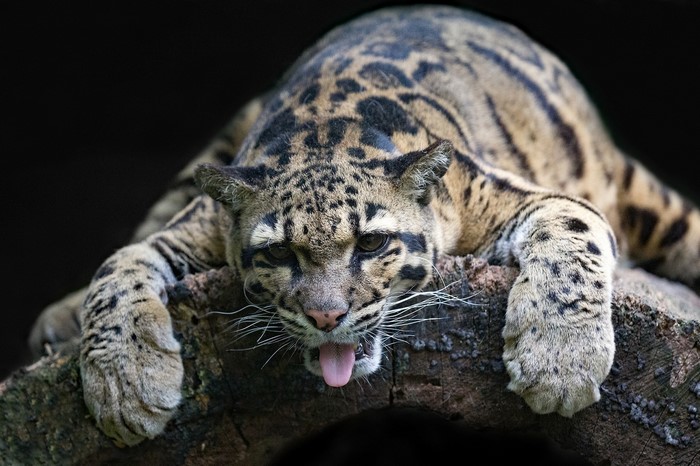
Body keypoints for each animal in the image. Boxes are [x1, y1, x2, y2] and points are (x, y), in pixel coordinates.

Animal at [28, 4, 700, 446]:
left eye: (372, 243)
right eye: (278, 255)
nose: (327, 317)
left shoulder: (511, 192)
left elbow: (571, 233)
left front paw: (559, 364)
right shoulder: (201, 222)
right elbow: (118, 266)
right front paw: (125, 387)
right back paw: (56, 321)